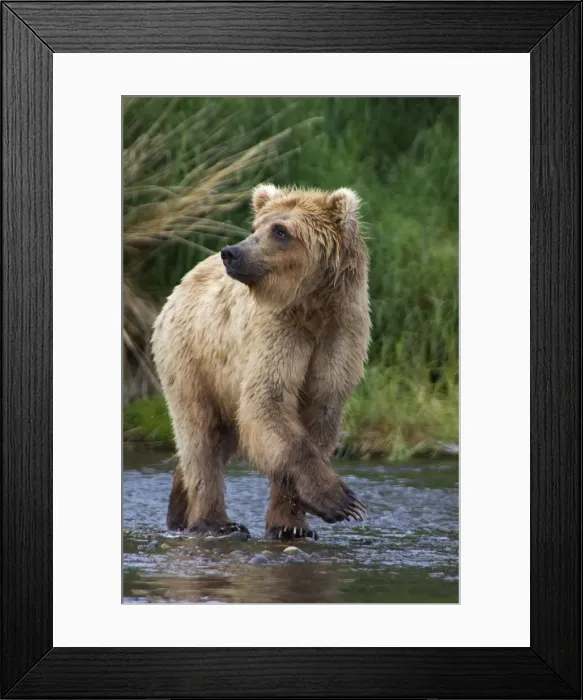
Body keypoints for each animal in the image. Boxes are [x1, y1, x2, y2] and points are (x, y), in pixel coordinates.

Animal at [151, 184, 371, 541]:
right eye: (255, 228)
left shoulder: (340, 337)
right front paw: (343, 502)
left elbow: (318, 414)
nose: (231, 252)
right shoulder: (276, 332)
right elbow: (268, 402)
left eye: (281, 231)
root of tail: (182, 282)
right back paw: (215, 521)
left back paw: (179, 510)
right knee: (200, 438)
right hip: (190, 358)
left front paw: (291, 524)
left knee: (216, 439)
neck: (313, 307)